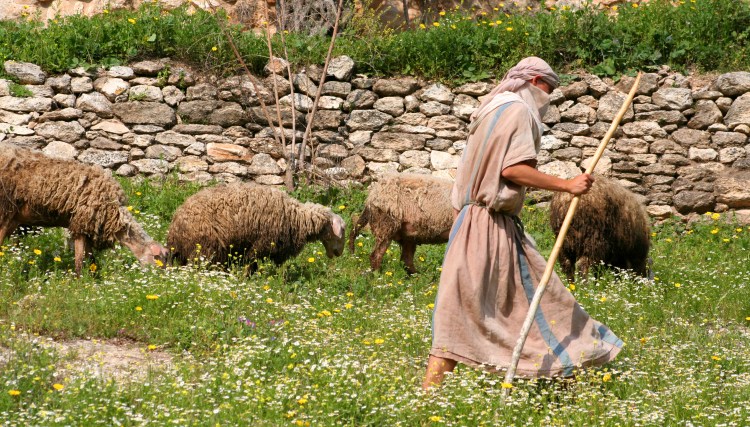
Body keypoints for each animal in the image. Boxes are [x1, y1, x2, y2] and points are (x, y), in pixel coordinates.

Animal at [0, 143, 168, 275]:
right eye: (160, 259)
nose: (162, 281)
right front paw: (80, 283)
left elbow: (91, 259)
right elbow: (80, 261)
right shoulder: (82, 223)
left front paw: (92, 279)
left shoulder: (88, 229)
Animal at [166, 183, 346, 270]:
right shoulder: (260, 245)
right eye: (342, 230)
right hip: (205, 248)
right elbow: (251, 264)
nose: (339, 253)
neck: (297, 217)